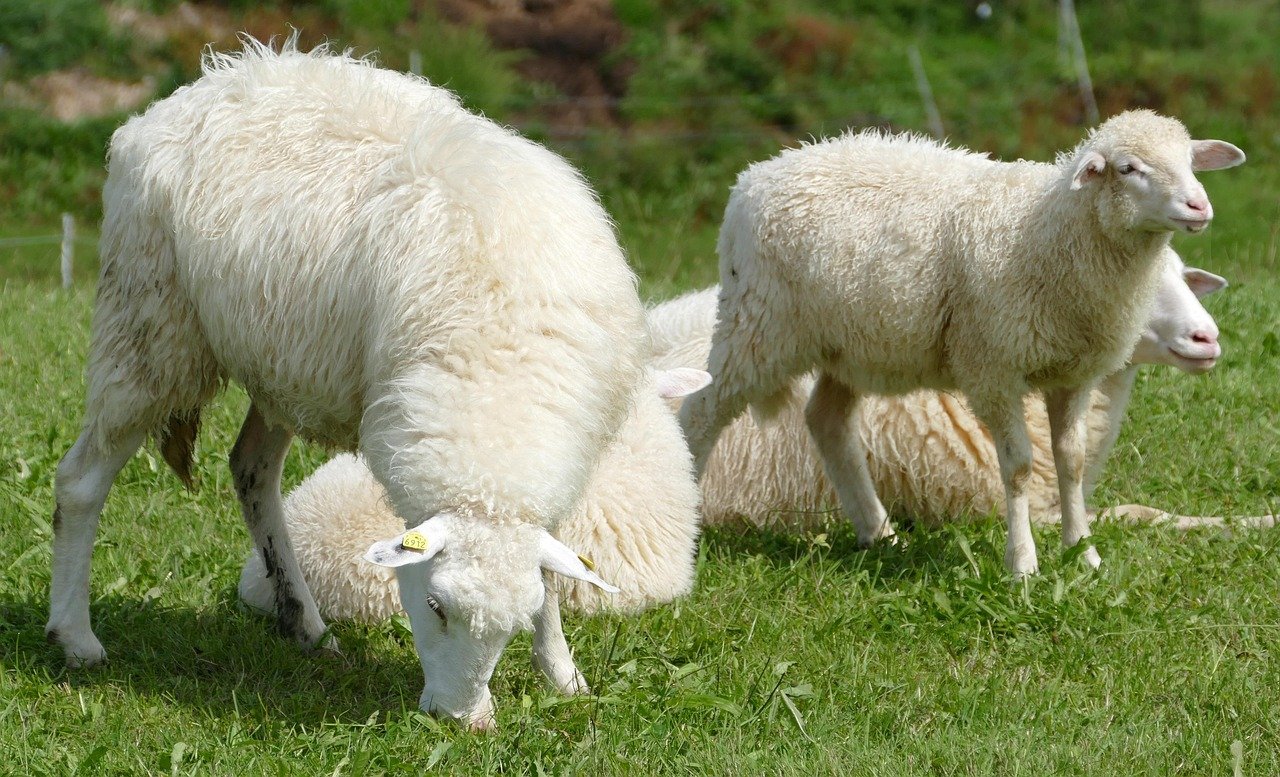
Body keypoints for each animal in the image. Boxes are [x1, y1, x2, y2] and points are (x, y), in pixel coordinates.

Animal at [47, 40, 651, 730]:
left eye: (513, 624)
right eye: (435, 606)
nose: (462, 723)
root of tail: (209, 81)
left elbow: (548, 576)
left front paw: (563, 674)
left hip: (281, 363)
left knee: (251, 470)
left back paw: (304, 623)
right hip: (147, 326)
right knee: (81, 480)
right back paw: (76, 638)